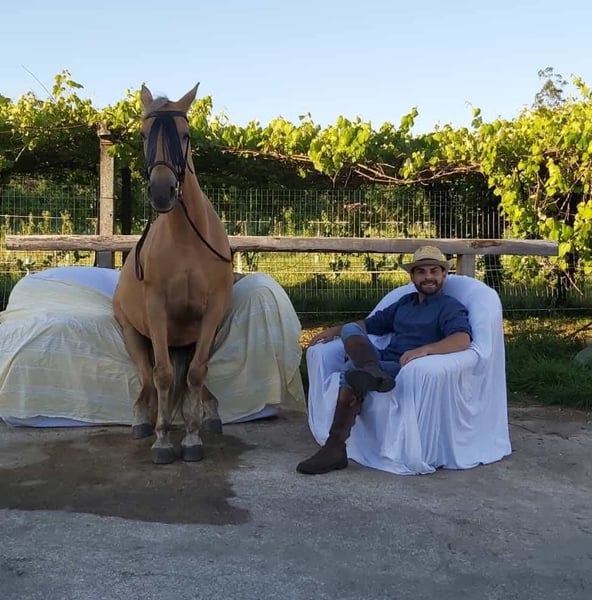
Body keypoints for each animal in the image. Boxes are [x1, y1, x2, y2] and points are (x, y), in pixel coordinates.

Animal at [113, 84, 234, 464]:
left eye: (185, 134)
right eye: (143, 135)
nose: (162, 192)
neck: (186, 240)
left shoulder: (212, 313)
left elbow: (195, 373)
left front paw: (192, 438)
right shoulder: (156, 310)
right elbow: (164, 376)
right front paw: (163, 440)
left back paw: (209, 414)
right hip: (133, 334)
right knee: (146, 379)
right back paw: (143, 421)